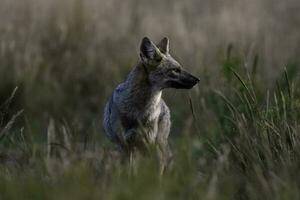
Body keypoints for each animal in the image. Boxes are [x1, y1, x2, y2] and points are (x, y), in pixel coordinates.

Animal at [103, 36, 199, 173]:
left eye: (180, 68)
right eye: (175, 70)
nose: (198, 80)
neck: (139, 111)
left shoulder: (149, 144)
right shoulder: (127, 146)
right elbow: (130, 172)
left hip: (157, 146)